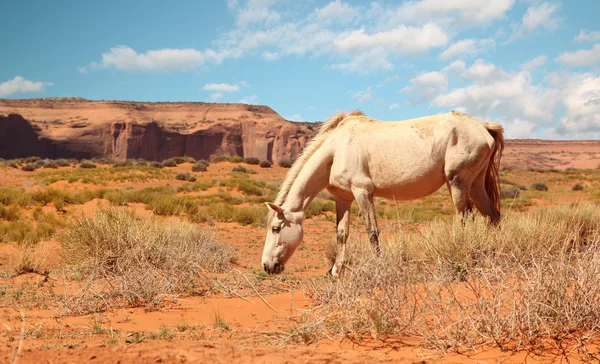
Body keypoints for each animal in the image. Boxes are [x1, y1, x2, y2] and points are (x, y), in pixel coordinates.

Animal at [262, 111, 502, 276]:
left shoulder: (363, 192)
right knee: (493, 216)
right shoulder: (343, 198)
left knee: (466, 219)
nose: (266, 266)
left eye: (276, 228)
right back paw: (493, 256)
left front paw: (379, 266)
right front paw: (335, 272)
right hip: (475, 185)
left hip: (458, 184)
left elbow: (372, 232)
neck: (337, 150)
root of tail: (484, 126)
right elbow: (341, 234)